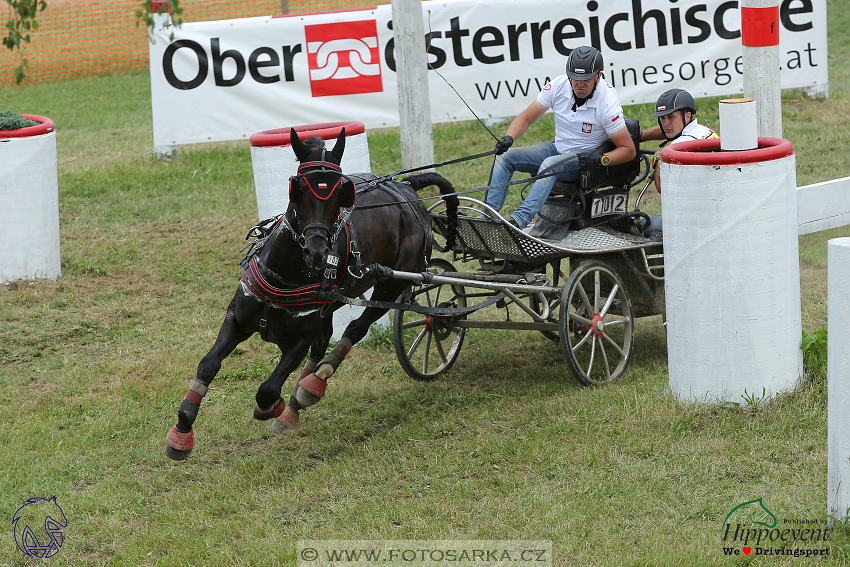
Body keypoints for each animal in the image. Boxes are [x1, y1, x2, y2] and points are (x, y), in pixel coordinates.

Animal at [166, 127, 458, 462]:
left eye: (340, 191)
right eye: (299, 188)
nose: (316, 251)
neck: (286, 276)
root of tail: (406, 187)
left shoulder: (298, 340)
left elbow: (267, 390)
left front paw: (273, 406)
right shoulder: (236, 320)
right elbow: (208, 364)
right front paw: (182, 430)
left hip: (392, 283)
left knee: (354, 330)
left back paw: (312, 385)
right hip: (331, 304)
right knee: (324, 342)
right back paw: (298, 401)